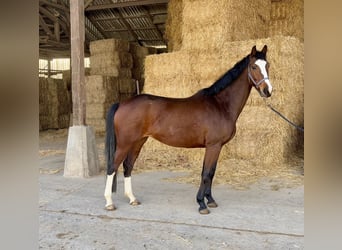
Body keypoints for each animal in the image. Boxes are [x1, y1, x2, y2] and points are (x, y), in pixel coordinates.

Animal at [103, 44, 272, 213]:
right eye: (254, 66)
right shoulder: (213, 145)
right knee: (112, 167)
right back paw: (109, 202)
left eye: (268, 65)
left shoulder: (217, 147)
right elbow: (206, 173)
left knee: (128, 166)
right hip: (125, 143)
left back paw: (132, 199)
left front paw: (210, 200)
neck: (220, 104)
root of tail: (121, 103)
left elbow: (211, 172)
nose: (267, 91)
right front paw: (202, 203)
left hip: (138, 141)